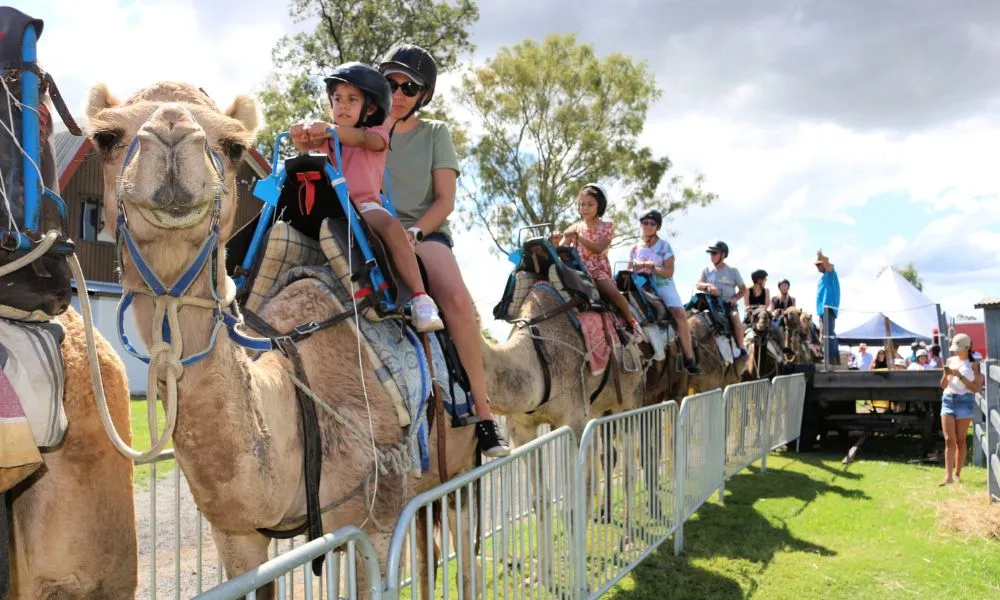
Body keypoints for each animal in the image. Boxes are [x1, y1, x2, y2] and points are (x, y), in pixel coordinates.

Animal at [84, 81, 478, 598]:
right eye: (105, 138)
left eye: (233, 145)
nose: (171, 130)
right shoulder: (237, 534)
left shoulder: (375, 521)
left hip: (462, 465)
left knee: (466, 547)